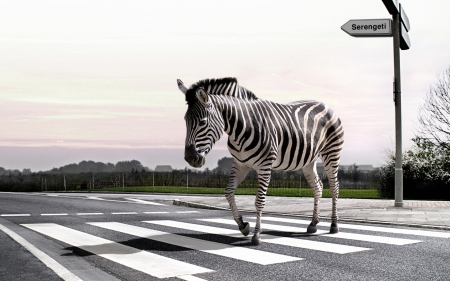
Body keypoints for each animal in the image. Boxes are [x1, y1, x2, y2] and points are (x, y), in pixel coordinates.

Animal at [177, 77, 344, 245]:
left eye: (202, 122)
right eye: (185, 120)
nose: (190, 158)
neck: (242, 128)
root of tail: (325, 105)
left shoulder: (265, 166)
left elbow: (259, 201)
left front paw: (256, 235)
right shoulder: (240, 164)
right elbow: (228, 192)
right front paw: (243, 225)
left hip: (331, 153)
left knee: (335, 187)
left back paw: (334, 225)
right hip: (309, 161)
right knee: (318, 187)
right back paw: (313, 224)